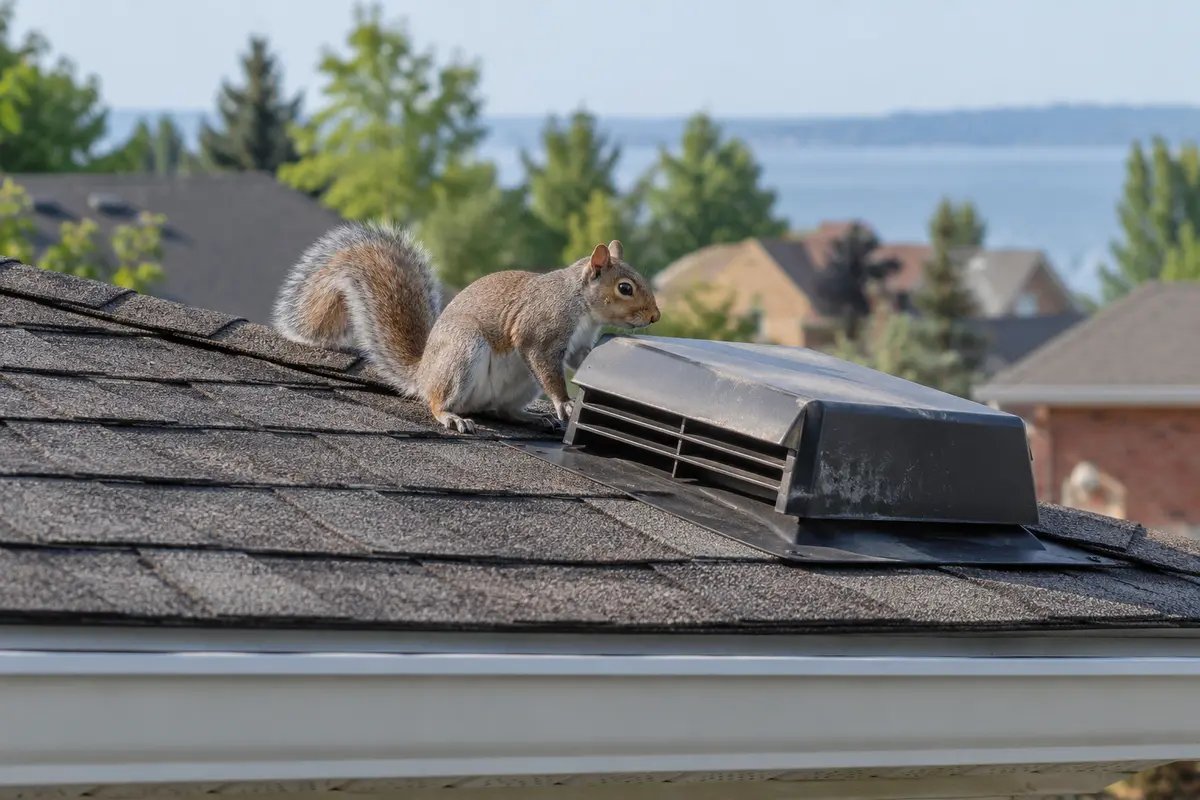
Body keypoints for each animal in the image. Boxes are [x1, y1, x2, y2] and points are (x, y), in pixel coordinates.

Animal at [272, 221, 661, 434]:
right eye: (625, 288)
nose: (655, 316)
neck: (581, 306)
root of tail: (423, 372)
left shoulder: (579, 344)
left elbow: (581, 360)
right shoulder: (541, 331)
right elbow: (546, 366)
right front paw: (564, 403)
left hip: (517, 385)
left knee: (501, 410)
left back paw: (529, 418)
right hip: (462, 351)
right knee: (436, 400)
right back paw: (449, 416)